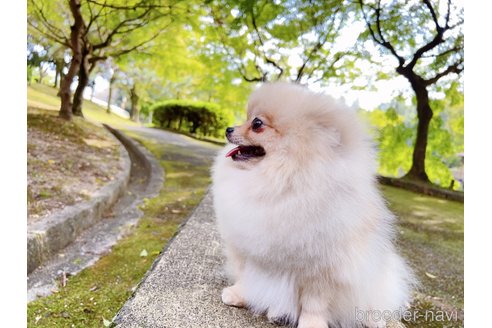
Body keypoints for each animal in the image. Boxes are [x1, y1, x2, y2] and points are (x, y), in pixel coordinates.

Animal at [211, 82, 416, 328]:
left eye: (257, 124)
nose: (228, 129)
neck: (283, 182)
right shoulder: (248, 249)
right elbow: (246, 276)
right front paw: (238, 294)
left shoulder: (322, 268)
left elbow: (314, 302)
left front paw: (311, 323)